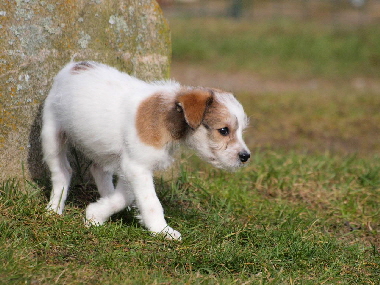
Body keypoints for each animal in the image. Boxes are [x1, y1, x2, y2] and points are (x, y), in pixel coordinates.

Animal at [42, 60, 249, 240]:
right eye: (224, 130)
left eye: (240, 130)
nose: (246, 156)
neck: (168, 117)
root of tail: (73, 65)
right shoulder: (137, 166)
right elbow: (151, 203)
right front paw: (162, 230)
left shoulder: (131, 166)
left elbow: (125, 197)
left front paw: (97, 214)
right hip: (52, 135)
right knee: (62, 173)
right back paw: (54, 208)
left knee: (98, 170)